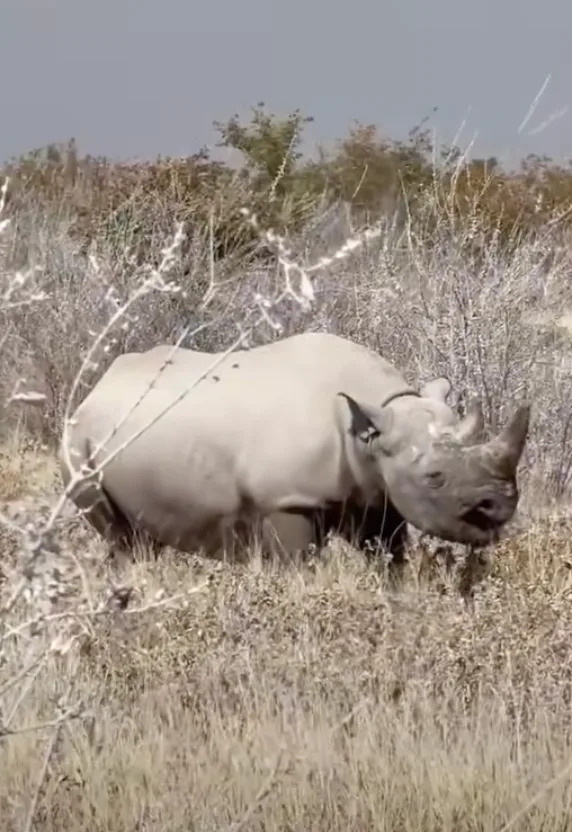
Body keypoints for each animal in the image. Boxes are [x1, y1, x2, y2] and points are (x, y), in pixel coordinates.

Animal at [59, 331, 530, 563]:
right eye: (434, 478)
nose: (502, 505)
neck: (369, 429)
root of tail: (93, 390)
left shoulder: (375, 491)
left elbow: (390, 557)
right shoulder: (287, 500)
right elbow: (300, 564)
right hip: (77, 445)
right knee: (121, 536)